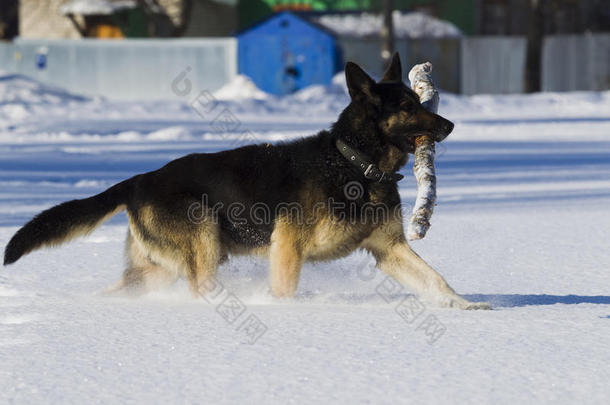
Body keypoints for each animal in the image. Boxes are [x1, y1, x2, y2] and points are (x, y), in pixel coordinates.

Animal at [1, 52, 490, 308]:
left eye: (419, 102)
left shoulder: (390, 251)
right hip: (202, 245)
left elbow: (436, 280)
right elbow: (286, 292)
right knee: (198, 287)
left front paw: (466, 308)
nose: (449, 125)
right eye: (407, 108)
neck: (354, 165)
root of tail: (139, 179)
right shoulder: (287, 250)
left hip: (159, 267)